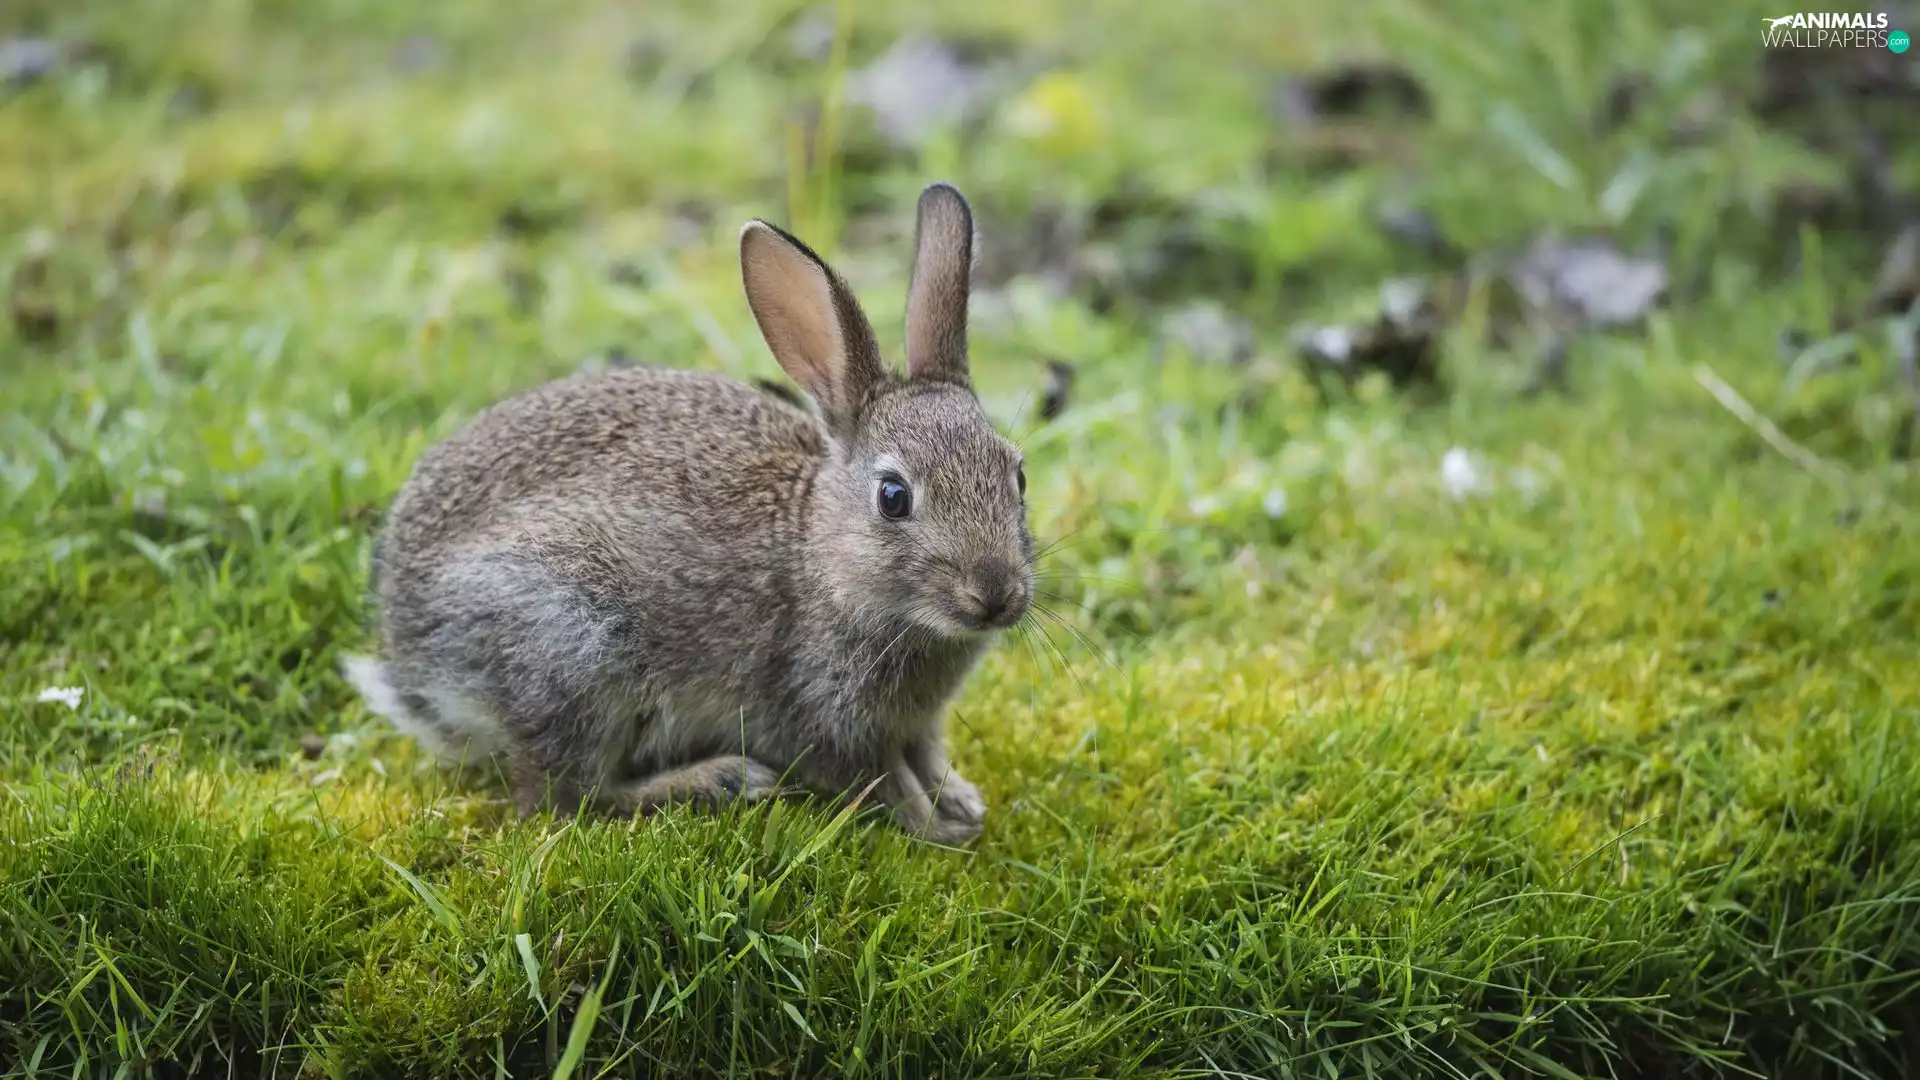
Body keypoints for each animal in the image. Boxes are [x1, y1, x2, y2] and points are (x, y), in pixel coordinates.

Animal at [341, 182, 1032, 845]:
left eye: (1018, 475)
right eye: (893, 496)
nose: (995, 593)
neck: (822, 558)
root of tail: (412, 655)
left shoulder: (918, 723)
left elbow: (927, 755)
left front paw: (961, 800)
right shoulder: (823, 717)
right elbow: (882, 779)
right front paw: (936, 827)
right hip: (572, 646)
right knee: (567, 799)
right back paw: (721, 779)